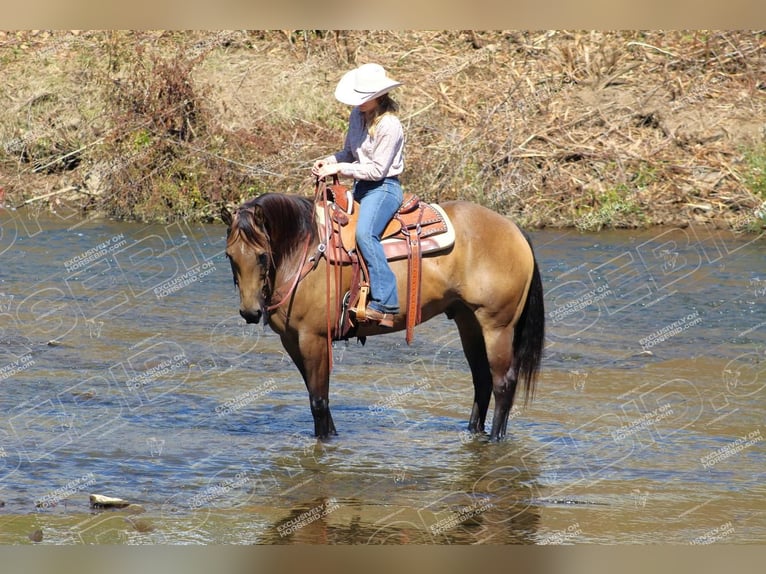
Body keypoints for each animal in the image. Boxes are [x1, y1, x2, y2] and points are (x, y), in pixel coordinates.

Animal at [222, 191, 544, 444]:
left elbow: (319, 400)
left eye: (262, 255)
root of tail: (515, 230)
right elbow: (318, 398)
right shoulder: (292, 341)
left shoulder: (314, 338)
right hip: (469, 322)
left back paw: (495, 438)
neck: (307, 251)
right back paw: (472, 432)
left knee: (503, 383)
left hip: (497, 326)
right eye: (229, 256)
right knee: (482, 380)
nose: (250, 312)